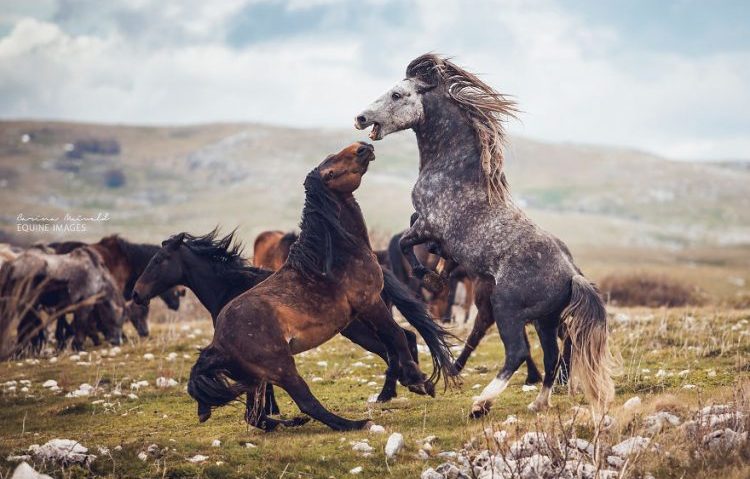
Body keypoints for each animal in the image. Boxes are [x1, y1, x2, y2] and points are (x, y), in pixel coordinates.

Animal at [188, 142, 458, 432]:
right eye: (330, 173)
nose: (363, 147)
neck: (339, 257)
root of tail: (218, 344)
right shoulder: (370, 302)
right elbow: (396, 336)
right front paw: (417, 380)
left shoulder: (363, 312)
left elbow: (392, 340)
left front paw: (414, 380)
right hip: (281, 367)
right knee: (306, 401)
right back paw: (353, 424)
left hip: (255, 379)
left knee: (255, 415)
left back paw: (292, 422)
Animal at [358, 52, 616, 418]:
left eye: (397, 94)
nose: (361, 117)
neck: (454, 170)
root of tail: (572, 275)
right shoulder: (429, 227)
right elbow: (422, 243)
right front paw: (439, 268)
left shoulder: (428, 222)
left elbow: (409, 241)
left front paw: (430, 276)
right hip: (545, 320)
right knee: (550, 356)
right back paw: (538, 402)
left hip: (507, 308)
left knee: (517, 352)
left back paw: (481, 403)